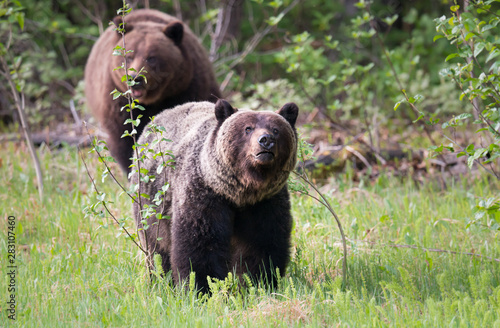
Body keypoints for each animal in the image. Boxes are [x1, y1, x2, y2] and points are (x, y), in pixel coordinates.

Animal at [85, 8, 222, 172]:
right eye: (129, 56)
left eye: (151, 57)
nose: (134, 78)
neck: (152, 100)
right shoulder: (118, 101)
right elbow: (125, 139)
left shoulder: (189, 88)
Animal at [131, 99, 298, 292]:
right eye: (248, 128)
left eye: (276, 129)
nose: (266, 140)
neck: (241, 193)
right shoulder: (204, 194)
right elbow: (200, 245)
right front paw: (200, 287)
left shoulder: (266, 201)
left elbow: (264, 243)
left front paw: (260, 283)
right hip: (151, 202)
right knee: (157, 247)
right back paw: (162, 280)